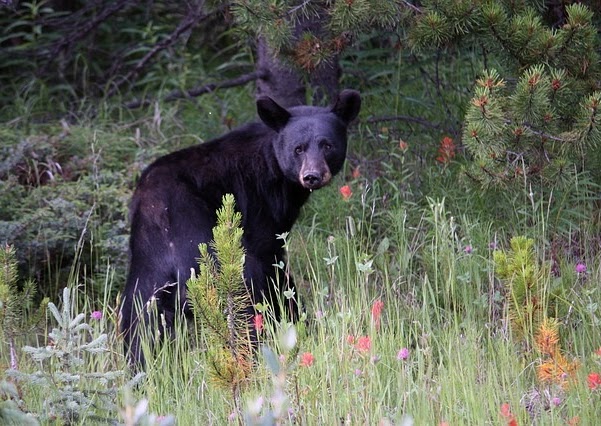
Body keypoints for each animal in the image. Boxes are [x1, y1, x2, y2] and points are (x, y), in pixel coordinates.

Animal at [119, 88, 358, 364]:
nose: (312, 176)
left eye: (327, 145)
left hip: (148, 261)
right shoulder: (259, 211)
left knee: (138, 317)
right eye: (298, 149)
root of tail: (159, 210)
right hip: (203, 242)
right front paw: (299, 321)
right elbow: (275, 268)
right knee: (245, 291)